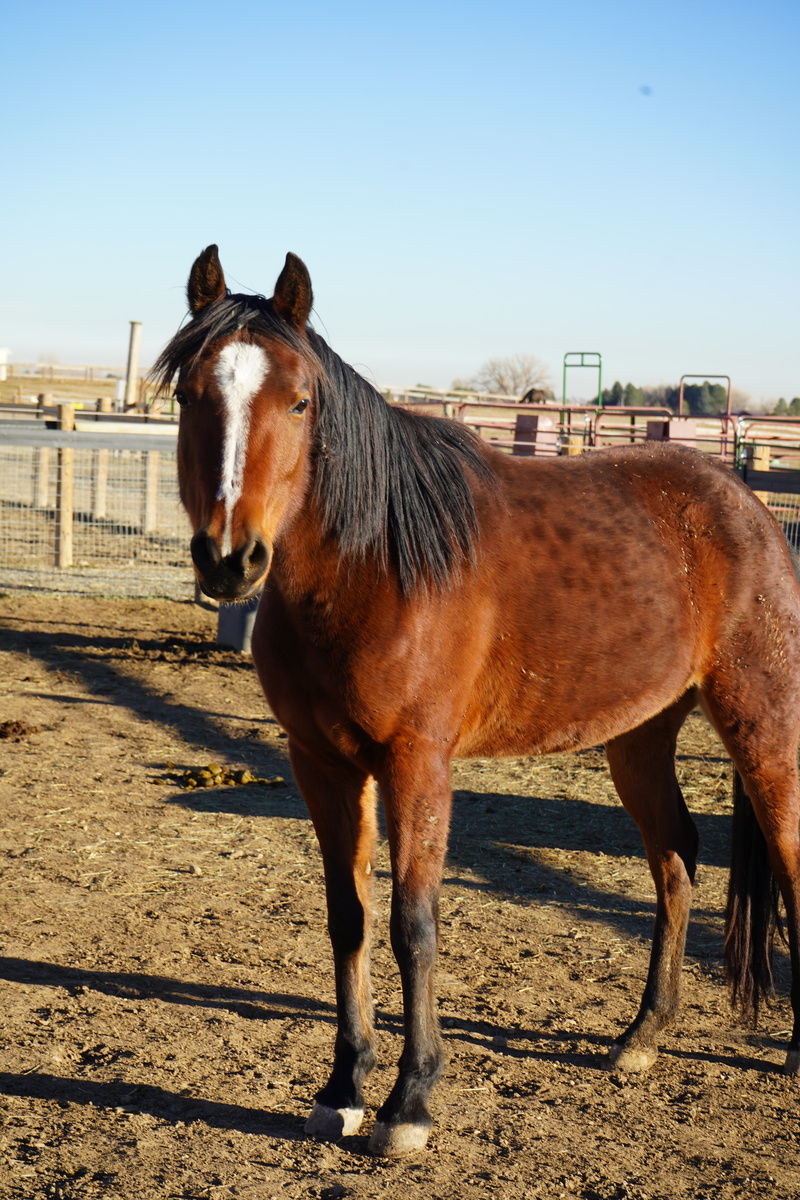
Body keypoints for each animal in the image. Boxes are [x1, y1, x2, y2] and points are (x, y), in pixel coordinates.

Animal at [155, 245, 800, 1157]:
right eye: (188, 394)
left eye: (300, 399)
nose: (228, 558)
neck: (373, 568)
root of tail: (744, 502)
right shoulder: (322, 766)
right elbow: (348, 919)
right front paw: (342, 1088)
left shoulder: (418, 765)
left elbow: (412, 925)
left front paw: (410, 1103)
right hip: (639, 737)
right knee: (674, 858)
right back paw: (642, 1037)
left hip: (763, 722)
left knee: (788, 859)